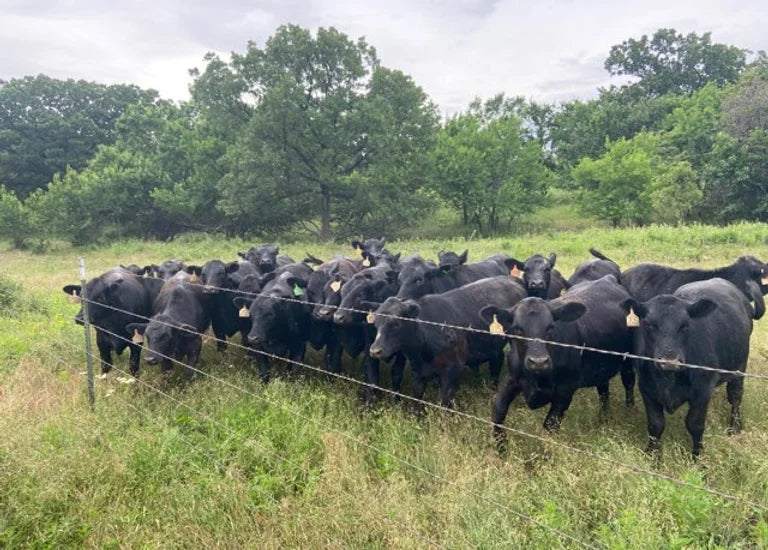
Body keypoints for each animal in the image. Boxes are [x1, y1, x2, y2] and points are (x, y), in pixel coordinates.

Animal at [368, 278, 524, 408]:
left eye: (396, 323)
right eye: (375, 323)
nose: (375, 350)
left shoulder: (452, 370)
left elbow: (443, 401)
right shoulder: (417, 372)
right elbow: (417, 399)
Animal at [484, 276, 632, 452]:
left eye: (551, 327)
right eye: (517, 328)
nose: (538, 362)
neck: (537, 379)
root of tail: (606, 278)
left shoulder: (566, 390)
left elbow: (550, 426)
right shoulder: (511, 379)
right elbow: (498, 412)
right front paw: (501, 451)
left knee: (628, 383)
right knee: (603, 390)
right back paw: (603, 418)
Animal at [624, 278, 752, 460]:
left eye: (685, 325)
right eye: (648, 324)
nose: (670, 361)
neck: (668, 380)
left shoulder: (703, 390)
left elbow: (695, 424)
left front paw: (697, 456)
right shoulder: (646, 388)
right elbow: (655, 424)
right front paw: (652, 454)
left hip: (739, 367)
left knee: (735, 396)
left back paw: (734, 427)